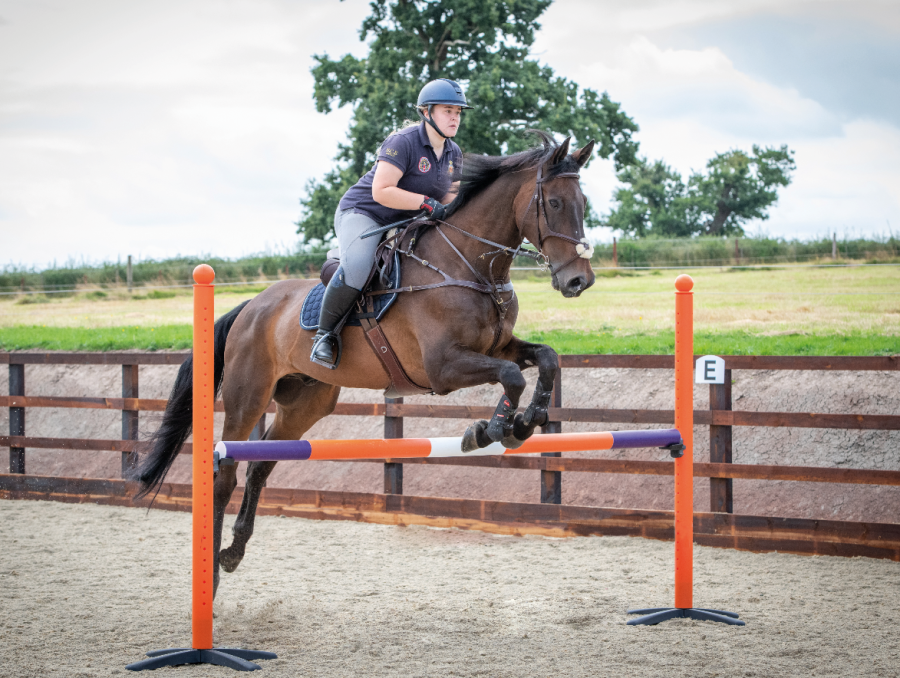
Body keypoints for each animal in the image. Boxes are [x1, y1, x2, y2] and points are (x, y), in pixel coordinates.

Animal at [132, 133, 596, 596]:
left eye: (584, 202)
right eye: (555, 203)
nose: (579, 281)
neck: (467, 266)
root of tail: (251, 306)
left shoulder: (498, 346)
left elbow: (546, 359)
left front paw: (526, 421)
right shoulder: (443, 368)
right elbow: (512, 375)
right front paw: (493, 430)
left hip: (307, 403)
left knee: (261, 465)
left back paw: (233, 552)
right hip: (248, 397)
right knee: (225, 473)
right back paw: (211, 572)